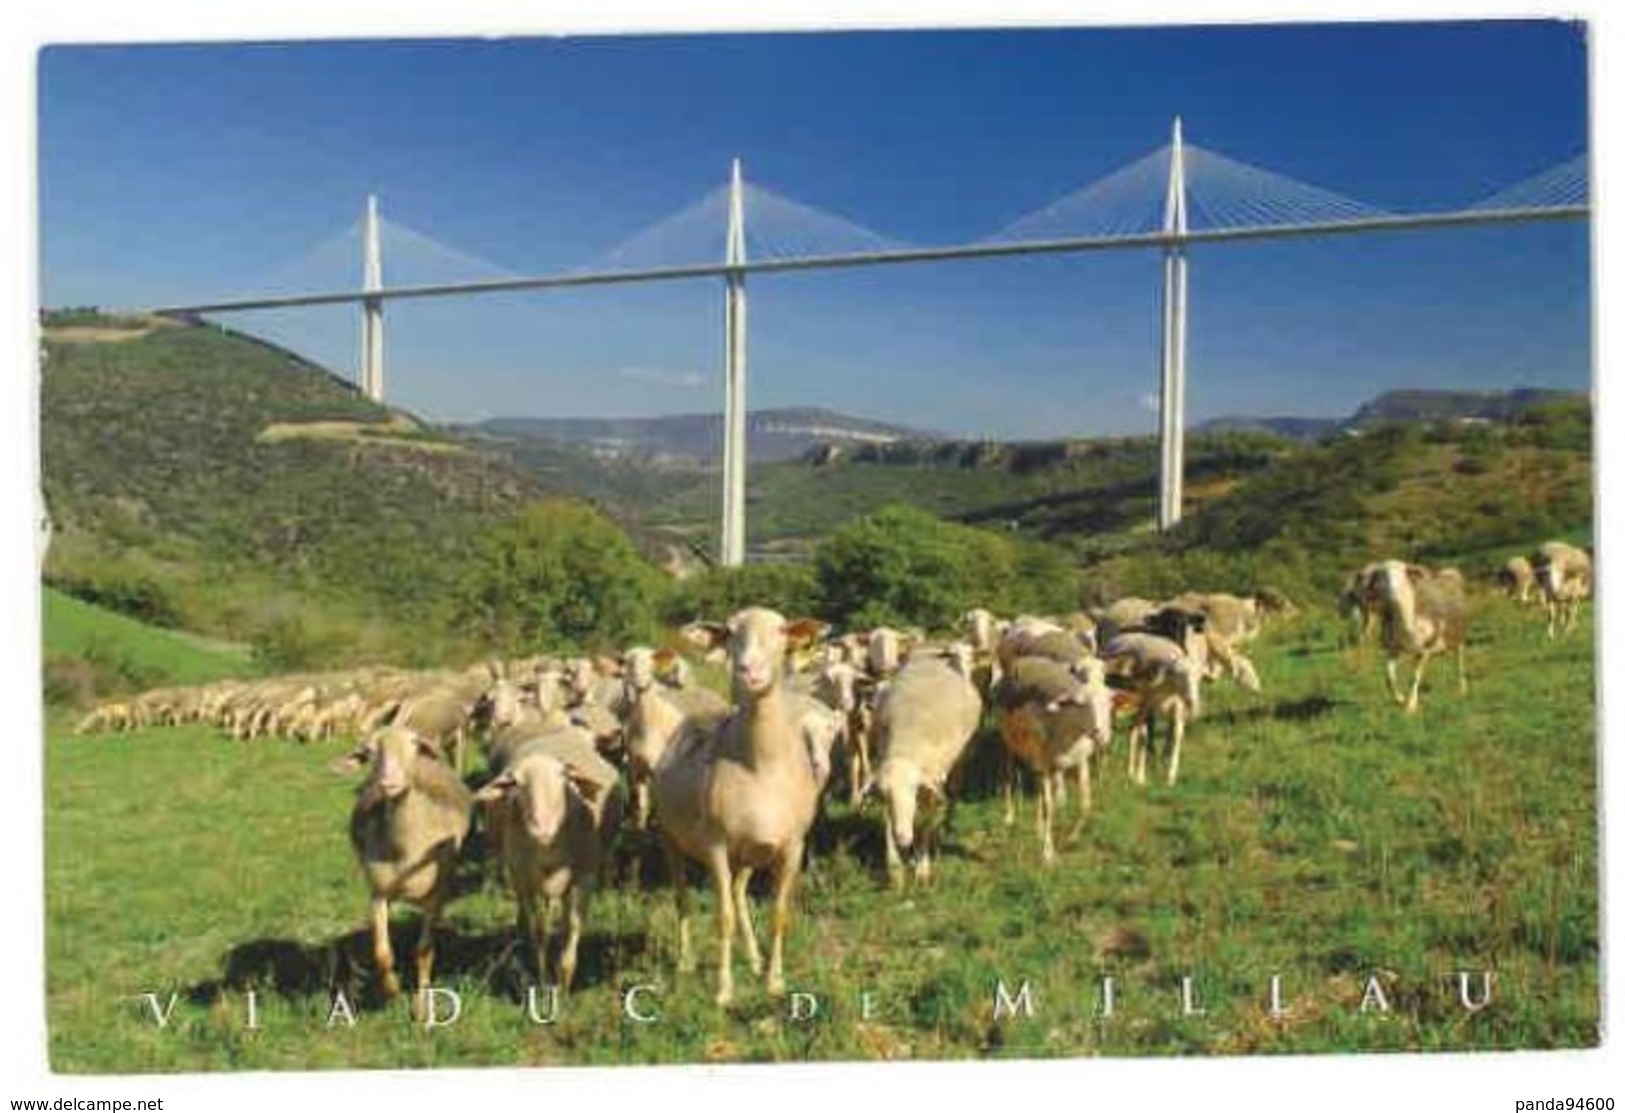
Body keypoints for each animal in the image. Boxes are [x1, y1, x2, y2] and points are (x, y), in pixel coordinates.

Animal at [341, 724, 474, 1000]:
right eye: (369, 752)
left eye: (412, 744)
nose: (388, 782)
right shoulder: (378, 893)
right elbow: (382, 952)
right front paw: (391, 989)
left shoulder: (434, 896)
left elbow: (424, 951)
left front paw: (422, 1000)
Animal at [650, 607, 825, 1007]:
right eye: (730, 633)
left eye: (781, 631)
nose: (750, 671)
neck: (761, 765)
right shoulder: (715, 845)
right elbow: (724, 917)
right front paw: (723, 990)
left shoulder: (793, 845)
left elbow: (778, 914)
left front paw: (774, 981)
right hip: (669, 838)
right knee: (683, 897)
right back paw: (686, 961)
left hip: (747, 853)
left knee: (739, 892)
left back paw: (756, 959)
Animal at [871, 649, 981, 883]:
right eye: (884, 793)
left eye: (912, 788)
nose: (903, 837)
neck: (905, 746)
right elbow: (888, 820)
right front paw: (895, 867)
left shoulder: (932, 781)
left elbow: (927, 820)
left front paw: (922, 866)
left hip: (961, 757)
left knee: (955, 790)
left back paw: (947, 824)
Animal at [1365, 565, 1469, 711]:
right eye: (1382, 576)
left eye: (1403, 577)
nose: (1393, 593)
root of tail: (1447, 573)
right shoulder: (1392, 648)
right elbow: (1389, 677)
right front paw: (1400, 699)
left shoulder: (1424, 649)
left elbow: (1414, 677)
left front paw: (1411, 705)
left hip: (1459, 639)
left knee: (1459, 663)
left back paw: (1461, 689)